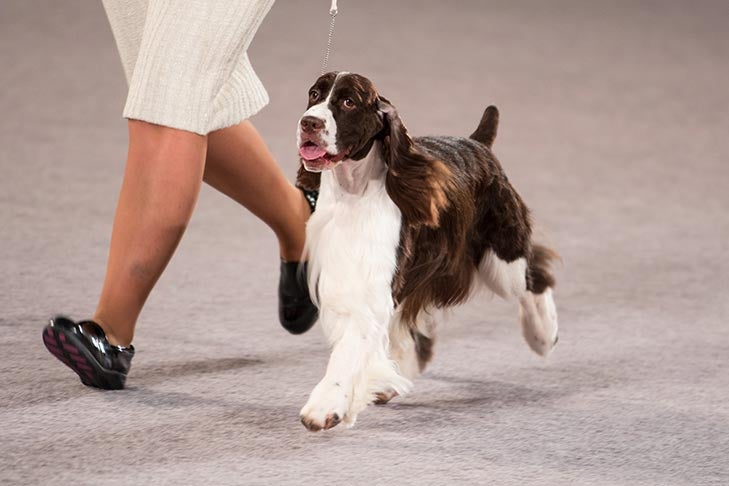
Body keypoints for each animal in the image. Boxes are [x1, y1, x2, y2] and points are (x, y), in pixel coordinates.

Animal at [292, 71, 560, 430]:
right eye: (314, 94)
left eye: (348, 101)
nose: (309, 122)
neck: (353, 193)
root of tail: (478, 142)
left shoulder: (372, 290)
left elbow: (349, 349)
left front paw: (324, 407)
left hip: (503, 260)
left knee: (535, 275)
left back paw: (543, 335)